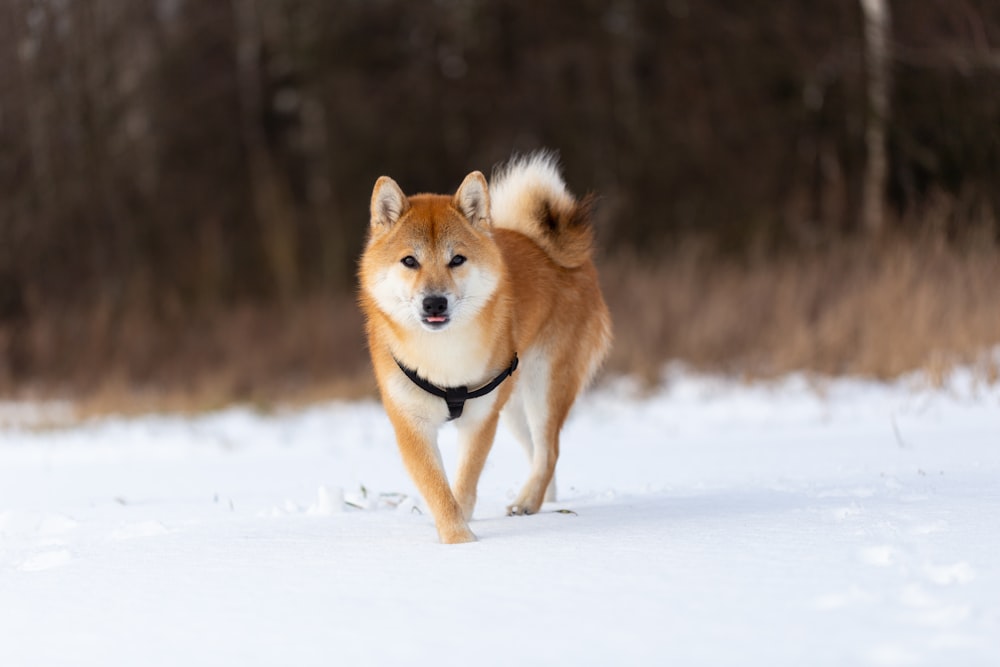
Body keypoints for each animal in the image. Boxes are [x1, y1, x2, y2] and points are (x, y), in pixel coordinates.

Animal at [360, 154, 608, 544]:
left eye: (457, 260)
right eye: (409, 261)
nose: (434, 302)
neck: (442, 356)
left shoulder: (480, 419)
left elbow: (464, 481)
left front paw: (463, 537)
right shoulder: (411, 423)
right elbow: (437, 487)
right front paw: (457, 537)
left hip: (543, 385)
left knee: (549, 449)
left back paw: (528, 502)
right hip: (513, 406)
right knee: (539, 451)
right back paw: (542, 498)